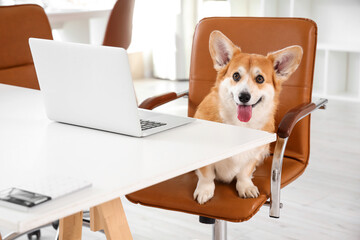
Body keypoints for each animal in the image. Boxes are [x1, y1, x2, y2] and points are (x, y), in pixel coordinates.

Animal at [193, 30, 302, 204]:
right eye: (236, 76)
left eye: (260, 79)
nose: (244, 96)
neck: (239, 124)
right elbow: (207, 174)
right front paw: (205, 190)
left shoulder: (254, 153)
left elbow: (245, 172)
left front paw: (245, 186)